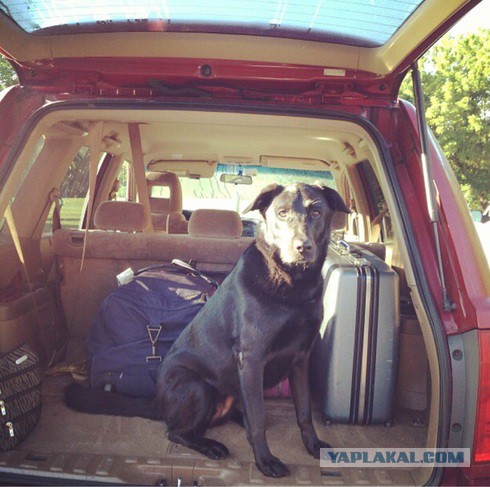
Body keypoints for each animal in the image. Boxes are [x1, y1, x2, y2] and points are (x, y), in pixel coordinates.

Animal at [67, 182, 352, 476]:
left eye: (316, 211)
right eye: (282, 213)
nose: (302, 247)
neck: (293, 286)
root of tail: (158, 401)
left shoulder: (301, 359)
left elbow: (304, 412)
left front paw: (313, 446)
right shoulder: (252, 360)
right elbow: (258, 420)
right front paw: (265, 461)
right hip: (198, 386)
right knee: (176, 432)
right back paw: (211, 445)